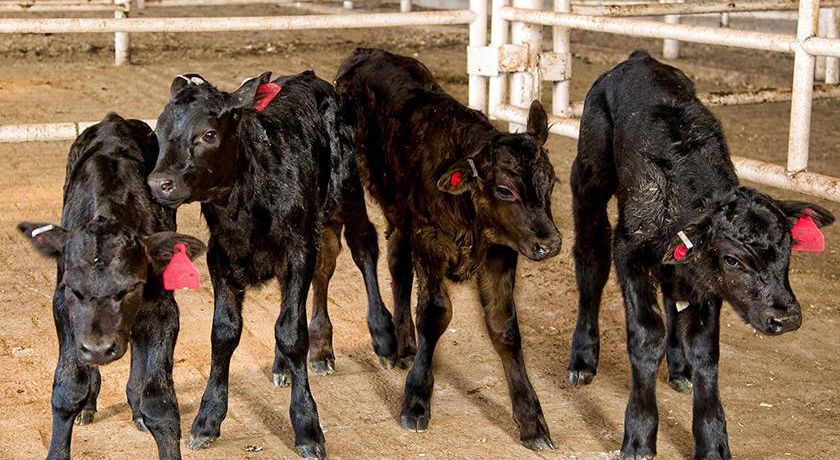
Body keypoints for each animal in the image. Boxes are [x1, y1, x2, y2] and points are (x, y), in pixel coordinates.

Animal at [18, 114, 205, 460]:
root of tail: (113, 120)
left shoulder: (163, 311)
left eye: (131, 288)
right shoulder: (62, 308)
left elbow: (160, 403)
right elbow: (68, 388)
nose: (99, 348)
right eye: (74, 289)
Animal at [148, 70, 398, 458]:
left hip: (347, 189)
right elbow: (224, 333)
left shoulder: (297, 250)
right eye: (159, 130)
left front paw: (307, 427)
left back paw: (383, 338)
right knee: (321, 269)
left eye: (208, 134)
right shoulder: (221, 256)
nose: (160, 183)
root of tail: (311, 78)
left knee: (363, 248)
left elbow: (292, 333)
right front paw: (208, 419)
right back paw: (307, 354)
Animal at [572, 48, 832, 458]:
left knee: (671, 296)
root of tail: (641, 59)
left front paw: (712, 441)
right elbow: (647, 335)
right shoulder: (629, 252)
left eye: (789, 248)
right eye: (732, 259)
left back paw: (679, 369)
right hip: (589, 181)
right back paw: (583, 357)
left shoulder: (706, 284)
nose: (787, 318)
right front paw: (639, 434)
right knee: (590, 263)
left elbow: (705, 350)